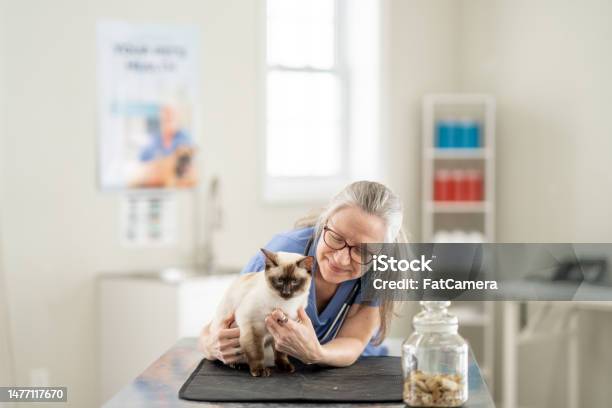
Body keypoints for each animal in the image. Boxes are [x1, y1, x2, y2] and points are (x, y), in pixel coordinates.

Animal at [213, 247, 314, 378]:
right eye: (280, 280)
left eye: (294, 281)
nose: (286, 293)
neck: (284, 305)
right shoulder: (253, 327)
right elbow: (256, 353)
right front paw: (259, 371)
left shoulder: (281, 332)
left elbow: (281, 353)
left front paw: (285, 367)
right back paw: (237, 365)